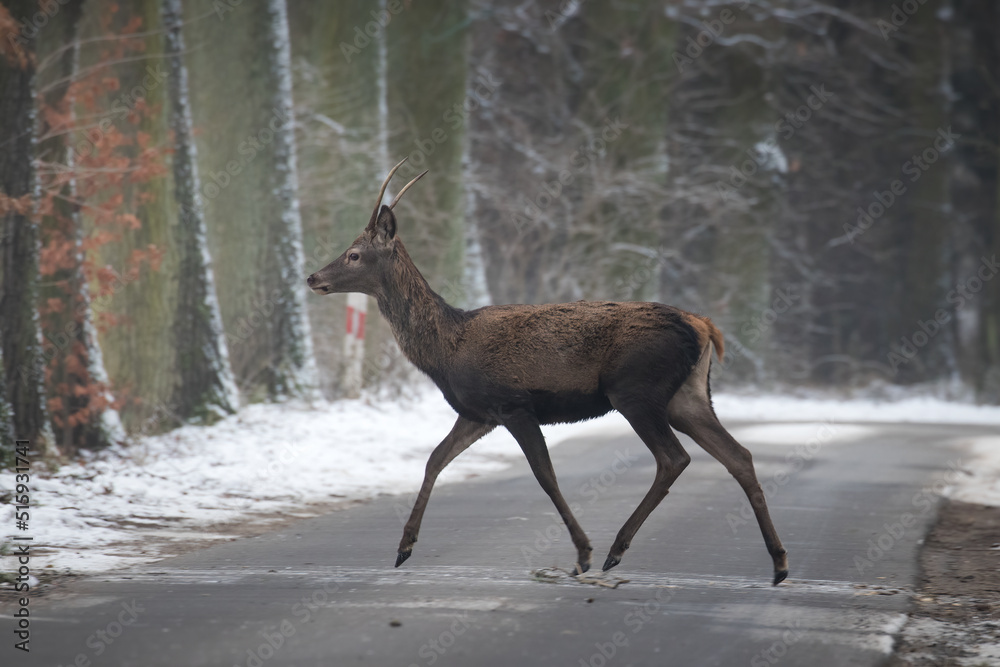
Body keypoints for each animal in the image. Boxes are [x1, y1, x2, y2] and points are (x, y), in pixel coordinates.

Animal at [306, 158, 789, 585]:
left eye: (354, 254)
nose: (313, 277)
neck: (446, 350)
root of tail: (703, 326)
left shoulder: (514, 404)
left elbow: (545, 476)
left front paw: (583, 553)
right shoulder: (478, 413)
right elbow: (434, 459)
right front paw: (403, 548)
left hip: (636, 390)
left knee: (674, 458)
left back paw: (615, 550)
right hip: (687, 395)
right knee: (739, 456)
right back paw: (779, 564)